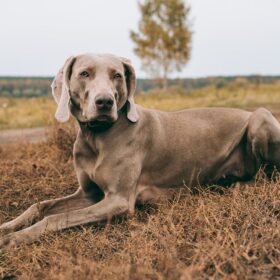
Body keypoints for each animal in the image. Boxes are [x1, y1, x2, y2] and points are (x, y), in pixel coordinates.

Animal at [0, 53, 280, 249]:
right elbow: (39, 207)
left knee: (267, 176)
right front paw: (7, 227)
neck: (97, 137)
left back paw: (239, 185)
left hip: (260, 117)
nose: (104, 102)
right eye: (84, 73)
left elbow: (54, 218)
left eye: (117, 75)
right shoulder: (89, 194)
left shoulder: (119, 200)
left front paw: (15, 239)